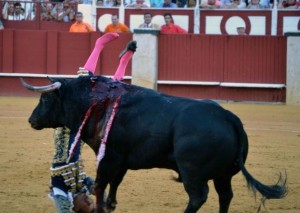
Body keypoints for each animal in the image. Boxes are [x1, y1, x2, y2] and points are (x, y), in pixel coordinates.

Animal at [22, 76, 288, 213]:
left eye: (45, 99)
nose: (31, 120)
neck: (97, 103)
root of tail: (228, 117)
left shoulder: (108, 158)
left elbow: (99, 184)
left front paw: (99, 208)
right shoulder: (122, 161)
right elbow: (115, 183)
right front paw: (111, 204)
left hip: (192, 172)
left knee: (198, 196)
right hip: (224, 174)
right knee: (225, 196)